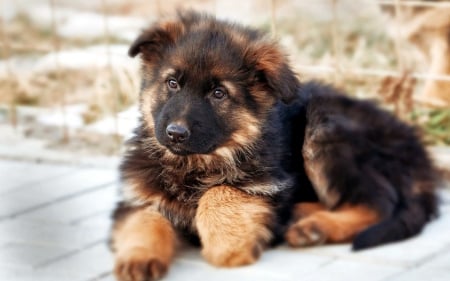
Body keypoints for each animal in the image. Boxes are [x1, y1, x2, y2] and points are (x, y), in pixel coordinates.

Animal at [110, 11, 438, 280]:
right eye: (172, 83)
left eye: (218, 93)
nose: (175, 133)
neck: (194, 164)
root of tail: (417, 151)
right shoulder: (138, 195)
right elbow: (143, 220)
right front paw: (138, 257)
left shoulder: (264, 185)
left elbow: (221, 190)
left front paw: (227, 244)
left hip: (324, 123)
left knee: (379, 202)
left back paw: (315, 228)